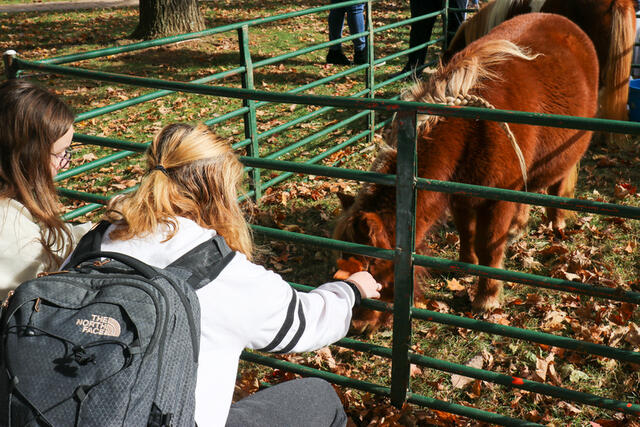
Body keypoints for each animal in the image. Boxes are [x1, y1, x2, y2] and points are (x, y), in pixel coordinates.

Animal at [336, 12, 600, 334]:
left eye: (371, 264)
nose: (357, 326)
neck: (472, 129)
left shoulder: (497, 201)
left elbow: (489, 247)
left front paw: (487, 297)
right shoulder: (461, 194)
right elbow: (467, 231)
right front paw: (464, 267)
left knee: (558, 184)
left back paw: (557, 222)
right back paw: (519, 226)